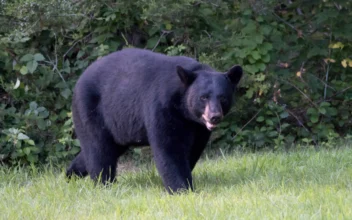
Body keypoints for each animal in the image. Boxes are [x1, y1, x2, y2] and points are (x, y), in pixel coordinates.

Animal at [66, 48, 242, 192]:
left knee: (101, 149)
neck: (183, 109)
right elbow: (169, 146)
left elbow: (194, 148)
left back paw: (71, 175)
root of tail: (79, 80)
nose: (214, 116)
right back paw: (104, 183)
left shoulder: (198, 127)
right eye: (203, 97)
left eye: (223, 98)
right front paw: (182, 188)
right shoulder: (162, 106)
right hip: (91, 109)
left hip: (118, 127)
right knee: (98, 148)